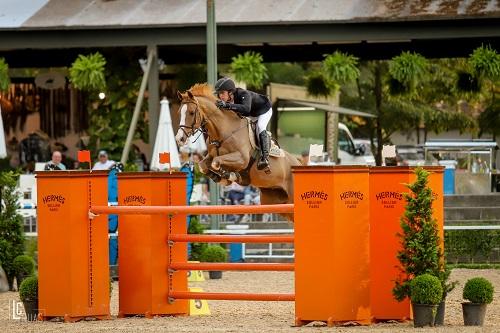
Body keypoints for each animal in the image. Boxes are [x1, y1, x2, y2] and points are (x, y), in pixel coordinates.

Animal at [176, 83, 300, 219]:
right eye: (179, 112)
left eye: (191, 112)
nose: (179, 139)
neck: (223, 131)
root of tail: (298, 163)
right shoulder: (211, 155)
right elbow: (204, 165)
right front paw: (220, 178)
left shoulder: (242, 159)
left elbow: (216, 162)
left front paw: (229, 176)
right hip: (279, 204)